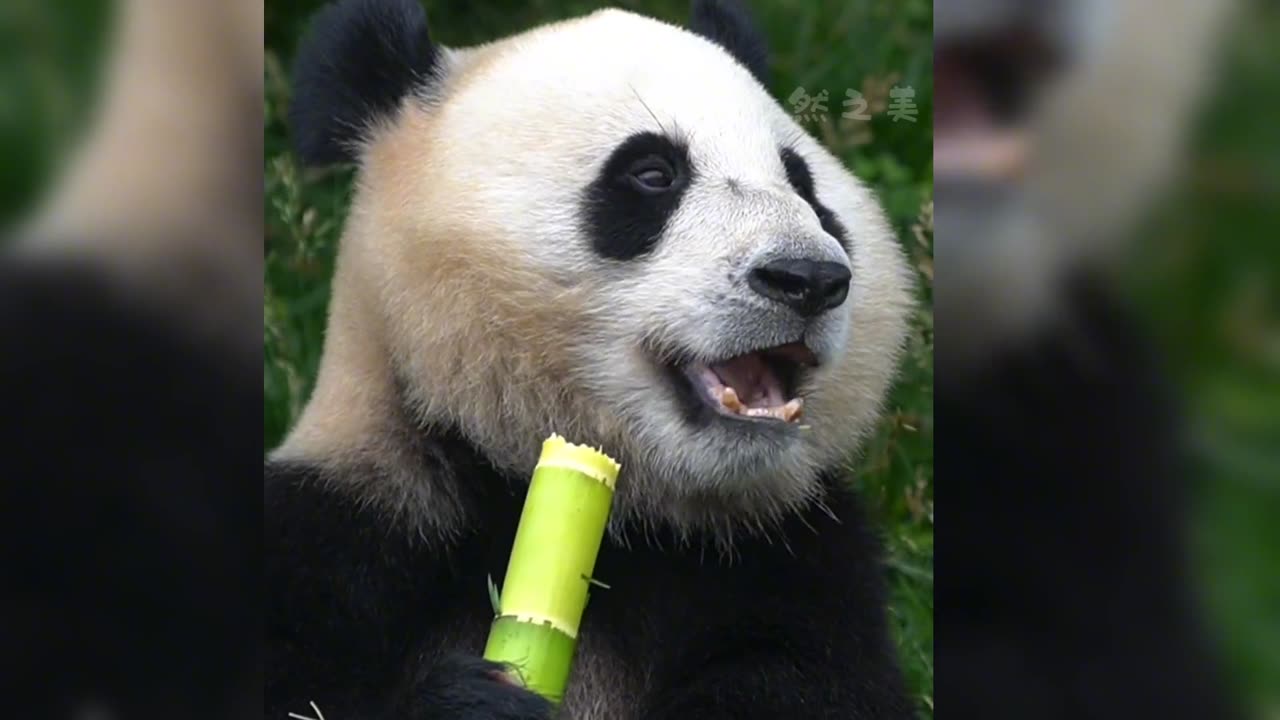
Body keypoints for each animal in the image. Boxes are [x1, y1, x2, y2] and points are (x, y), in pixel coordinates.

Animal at [264, 1, 916, 717]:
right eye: (652, 173)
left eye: (803, 182)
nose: (809, 278)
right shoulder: (351, 526)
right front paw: (477, 700)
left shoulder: (798, 557)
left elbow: (811, 683)